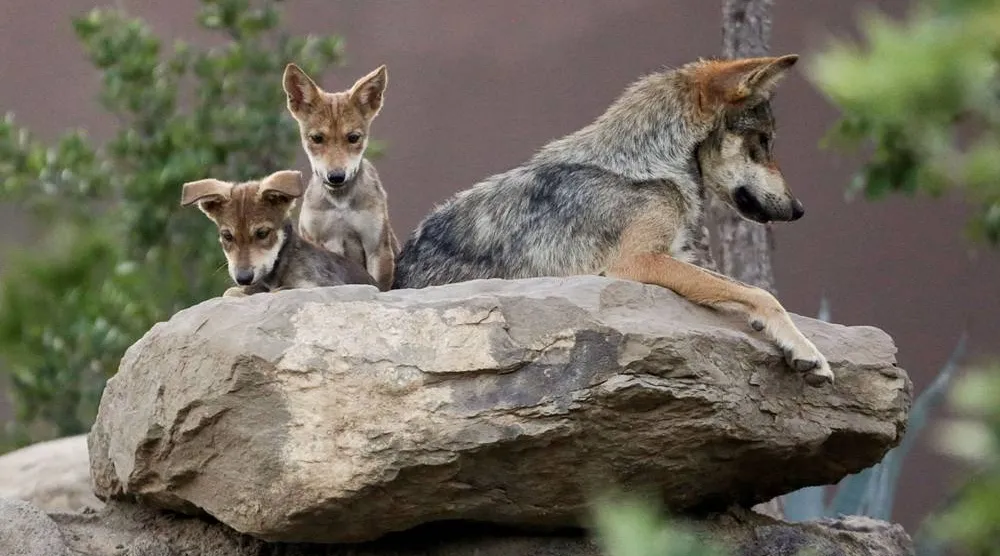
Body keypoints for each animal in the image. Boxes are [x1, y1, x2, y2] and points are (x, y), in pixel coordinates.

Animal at [181, 169, 378, 297]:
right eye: (227, 236)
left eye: (262, 233)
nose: (243, 278)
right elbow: (231, 292)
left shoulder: (322, 284)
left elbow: (280, 290)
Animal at [282, 63, 400, 291]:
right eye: (317, 138)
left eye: (353, 138)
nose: (336, 176)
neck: (340, 205)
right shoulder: (321, 242)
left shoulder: (376, 247)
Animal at [393, 54, 833, 385]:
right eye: (763, 142)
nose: (800, 210)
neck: (644, 164)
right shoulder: (637, 262)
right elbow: (762, 294)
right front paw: (808, 351)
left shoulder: (678, 256)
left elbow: (742, 288)